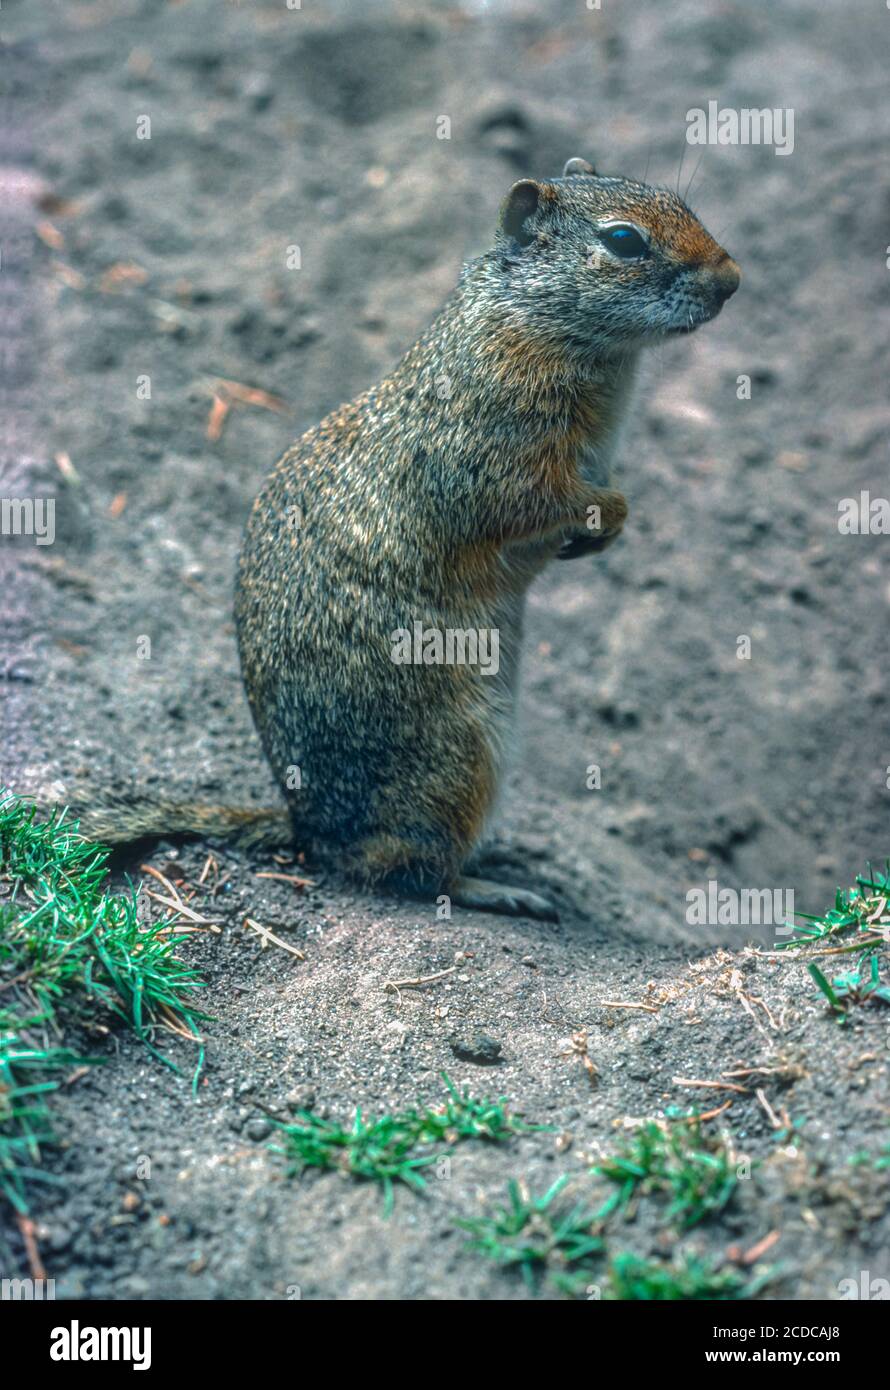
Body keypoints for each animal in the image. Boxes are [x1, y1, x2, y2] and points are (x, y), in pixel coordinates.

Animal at [66, 159, 739, 922]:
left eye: (680, 201)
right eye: (624, 241)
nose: (732, 278)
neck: (528, 320)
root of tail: (307, 831)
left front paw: (603, 533)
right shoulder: (496, 458)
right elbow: (542, 499)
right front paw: (608, 512)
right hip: (460, 760)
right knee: (404, 869)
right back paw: (495, 887)